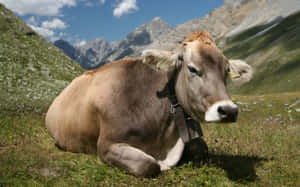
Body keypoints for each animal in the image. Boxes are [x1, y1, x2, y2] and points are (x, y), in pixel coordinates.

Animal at [46, 30, 253, 177]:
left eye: (226, 70)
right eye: (192, 69)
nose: (228, 110)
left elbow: (201, 149)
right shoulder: (106, 145)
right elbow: (148, 164)